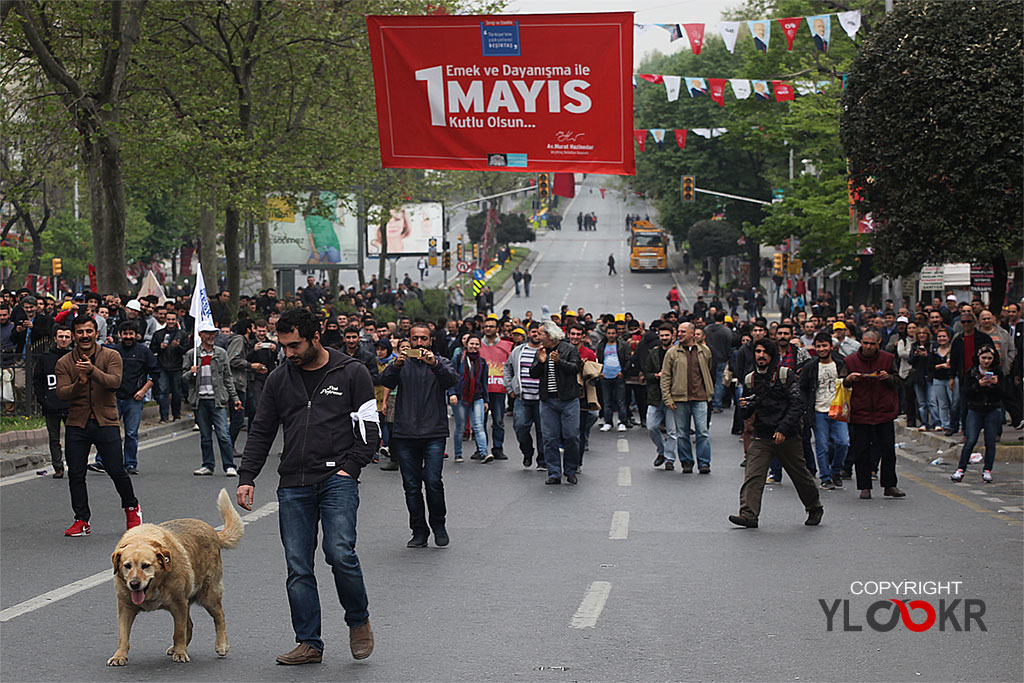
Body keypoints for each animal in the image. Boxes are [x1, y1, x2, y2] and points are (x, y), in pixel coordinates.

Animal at [107, 489, 243, 663]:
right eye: (127, 566)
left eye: (146, 566)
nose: (134, 584)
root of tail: (213, 531)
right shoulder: (125, 607)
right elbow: (123, 636)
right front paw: (119, 655)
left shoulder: (178, 605)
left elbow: (178, 632)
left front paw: (180, 652)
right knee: (190, 624)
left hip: (208, 595)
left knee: (219, 616)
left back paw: (221, 645)